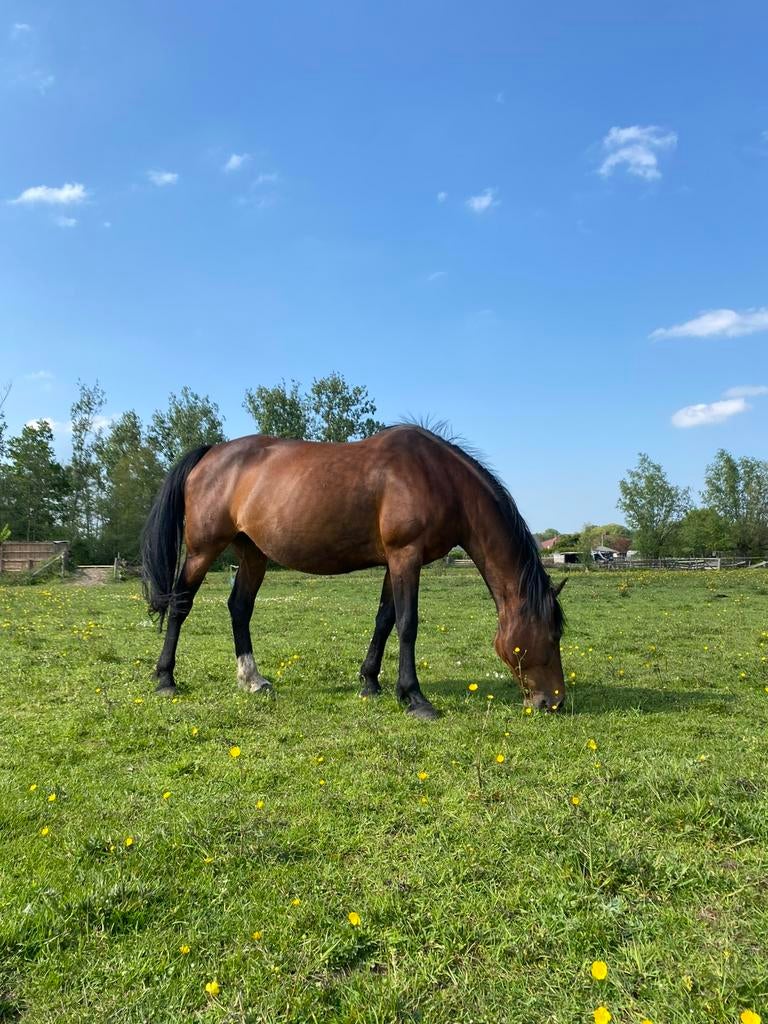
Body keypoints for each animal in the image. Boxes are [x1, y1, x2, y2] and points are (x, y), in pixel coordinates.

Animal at [141, 424, 566, 720]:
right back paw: (165, 680)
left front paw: (370, 682)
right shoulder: (405, 556)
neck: (437, 477)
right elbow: (408, 624)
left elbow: (385, 620)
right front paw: (414, 697)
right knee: (181, 604)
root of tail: (210, 453)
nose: (554, 702)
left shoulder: (394, 562)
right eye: (552, 636)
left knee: (239, 608)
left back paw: (252, 679)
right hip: (202, 550)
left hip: (253, 554)